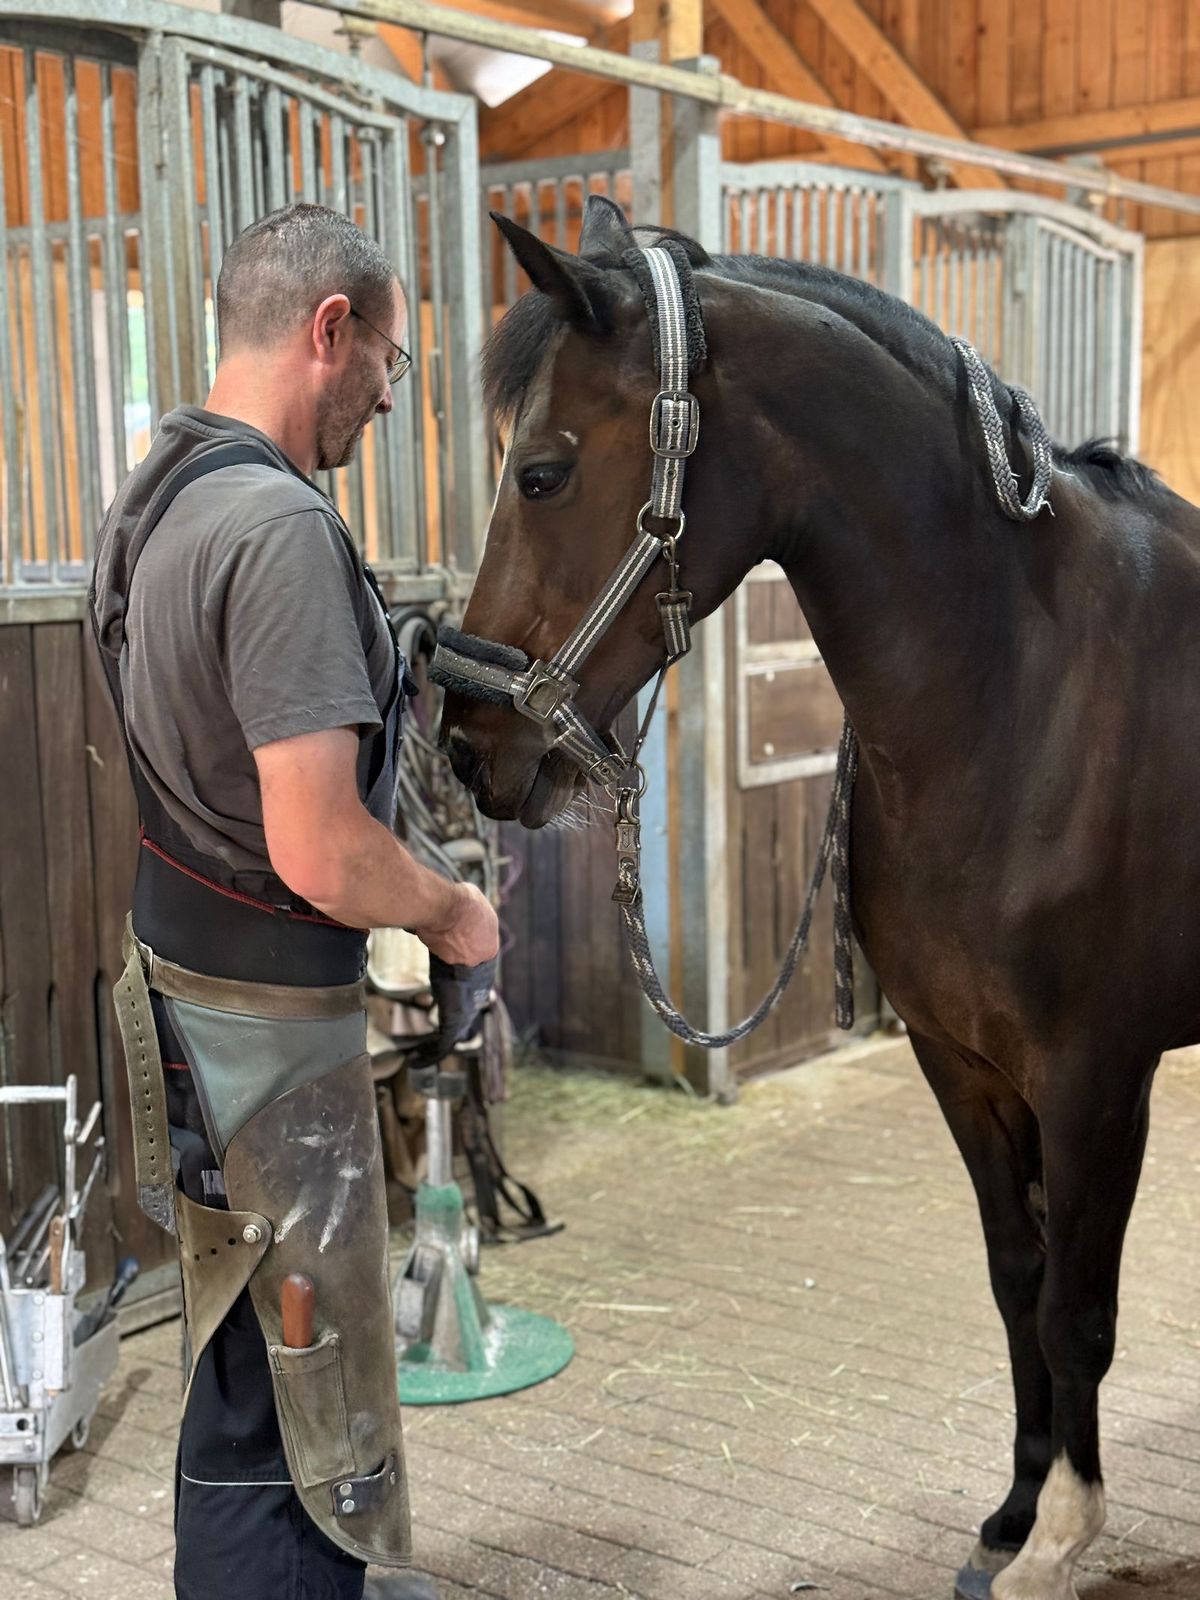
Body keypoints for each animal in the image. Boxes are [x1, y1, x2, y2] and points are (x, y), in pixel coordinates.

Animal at [438, 193, 1200, 1600]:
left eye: (545, 471)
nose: (467, 745)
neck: (1026, 685)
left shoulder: (1095, 1075)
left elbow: (1079, 1307)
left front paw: (1063, 1535)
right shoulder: (962, 1062)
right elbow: (1017, 1279)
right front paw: (1015, 1510)